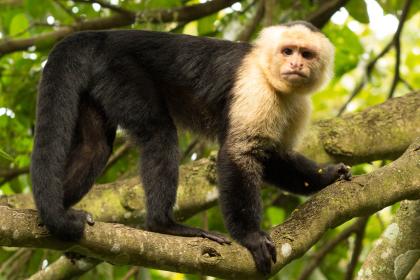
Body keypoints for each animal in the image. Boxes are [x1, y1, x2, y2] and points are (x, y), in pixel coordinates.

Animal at [30, 20, 352, 274]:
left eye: (306, 54)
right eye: (288, 51)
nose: (296, 65)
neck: (269, 75)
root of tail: (102, 35)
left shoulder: (297, 105)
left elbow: (272, 157)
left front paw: (327, 176)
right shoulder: (255, 89)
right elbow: (239, 152)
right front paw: (250, 237)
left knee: (94, 147)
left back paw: (51, 215)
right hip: (118, 70)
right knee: (159, 133)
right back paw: (164, 225)